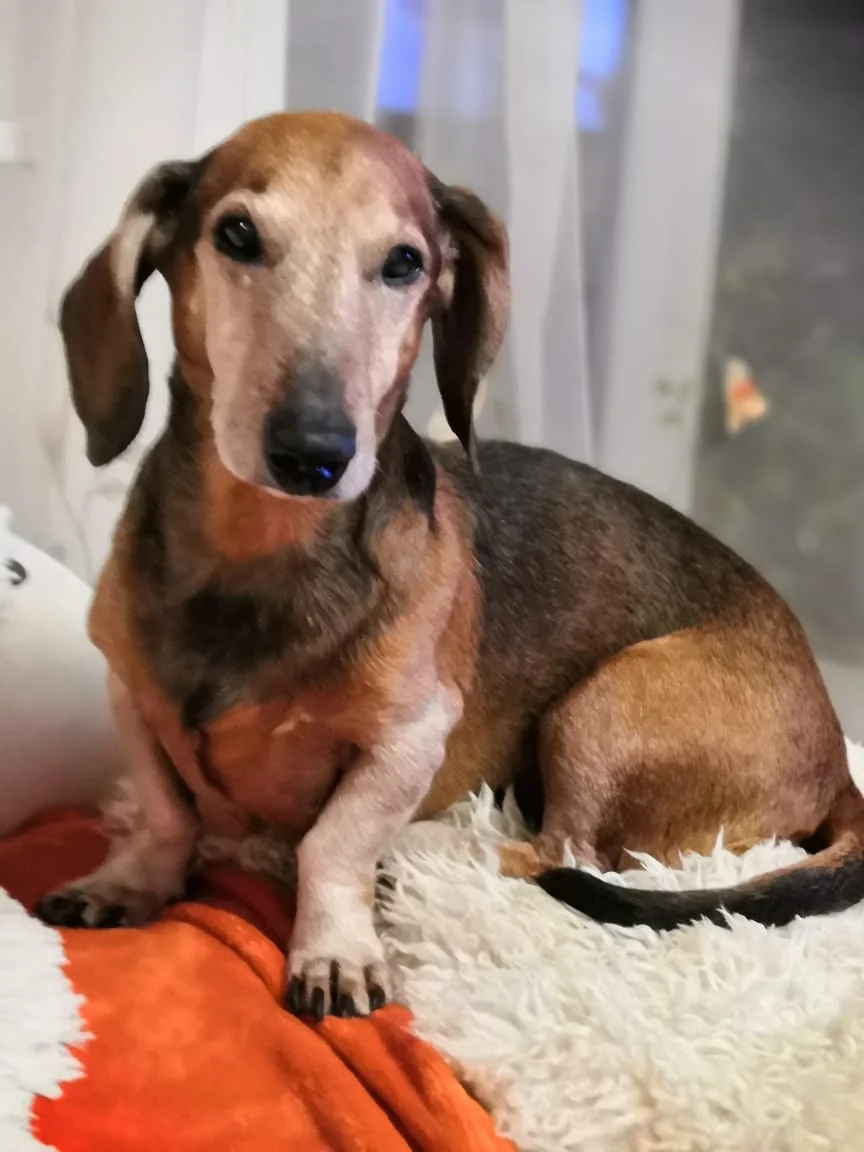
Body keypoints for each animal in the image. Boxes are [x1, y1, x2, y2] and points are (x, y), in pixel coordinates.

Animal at [37, 112, 864, 1019]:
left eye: (405, 263)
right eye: (238, 235)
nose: (314, 451)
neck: (263, 551)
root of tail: (837, 757)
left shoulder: (408, 739)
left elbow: (334, 844)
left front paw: (333, 949)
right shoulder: (129, 693)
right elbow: (165, 813)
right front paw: (131, 880)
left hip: (604, 705)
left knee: (560, 853)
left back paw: (438, 845)